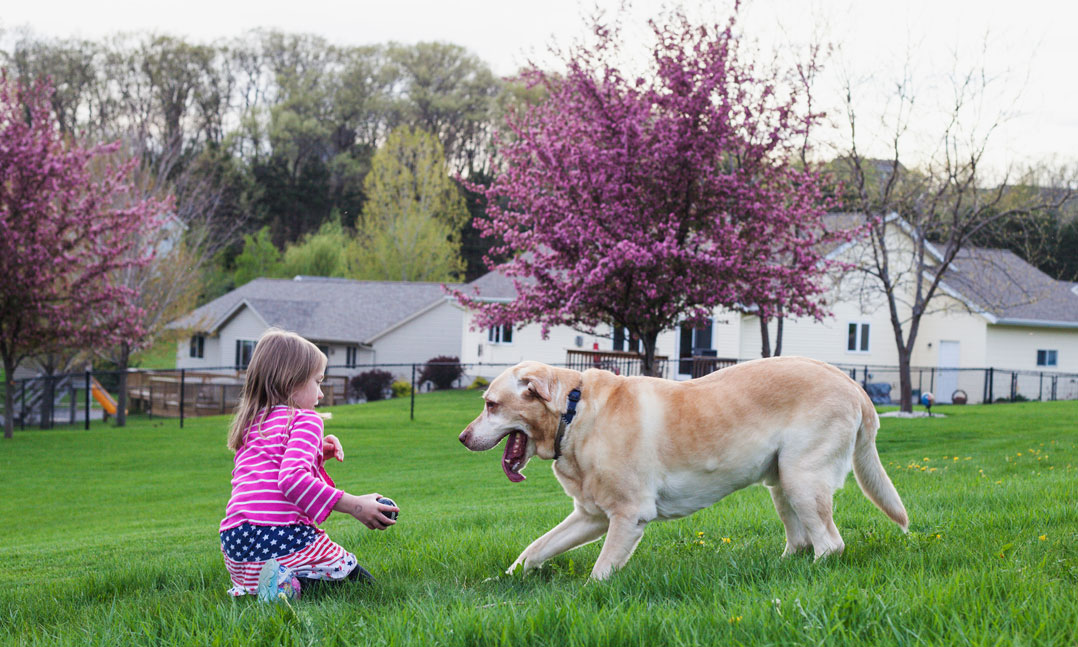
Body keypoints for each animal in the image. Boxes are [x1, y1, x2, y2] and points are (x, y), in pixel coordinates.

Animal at [457, 355, 909, 577]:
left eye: (490, 404)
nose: (461, 438)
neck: (574, 412)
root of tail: (852, 383)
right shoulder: (591, 516)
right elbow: (535, 549)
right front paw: (501, 581)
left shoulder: (628, 516)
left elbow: (600, 573)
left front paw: (586, 595)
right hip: (782, 483)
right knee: (800, 541)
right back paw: (775, 570)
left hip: (803, 479)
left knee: (830, 545)